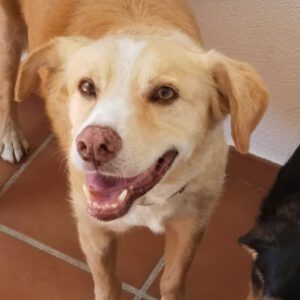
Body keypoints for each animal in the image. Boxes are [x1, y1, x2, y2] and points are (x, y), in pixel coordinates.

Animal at [0, 1, 268, 298]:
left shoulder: (191, 223)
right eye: (86, 86)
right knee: (7, 83)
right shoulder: (93, 228)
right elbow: (107, 283)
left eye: (165, 93)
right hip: (9, 34)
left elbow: (172, 280)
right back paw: (10, 135)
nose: (93, 145)